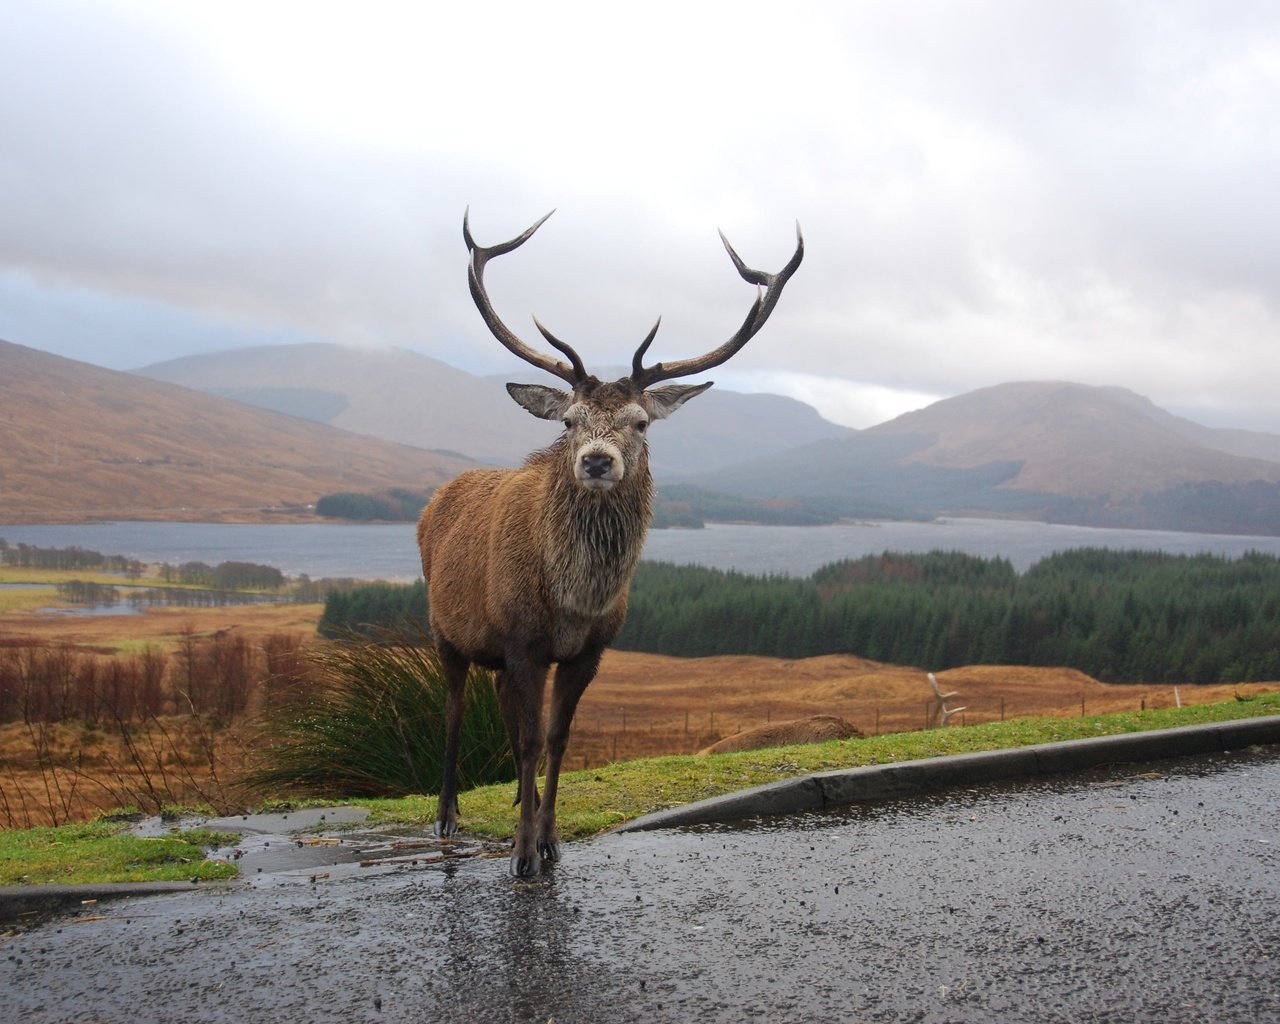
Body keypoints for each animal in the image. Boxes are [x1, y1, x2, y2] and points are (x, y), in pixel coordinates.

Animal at [417, 207, 798, 870]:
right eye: (570, 420)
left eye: (640, 423)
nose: (596, 460)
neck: (572, 601)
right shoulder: (521, 639)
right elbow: (529, 742)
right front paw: (522, 854)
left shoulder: (589, 651)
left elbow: (557, 739)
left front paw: (548, 840)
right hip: (445, 630)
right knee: (455, 711)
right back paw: (447, 815)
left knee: (504, 709)